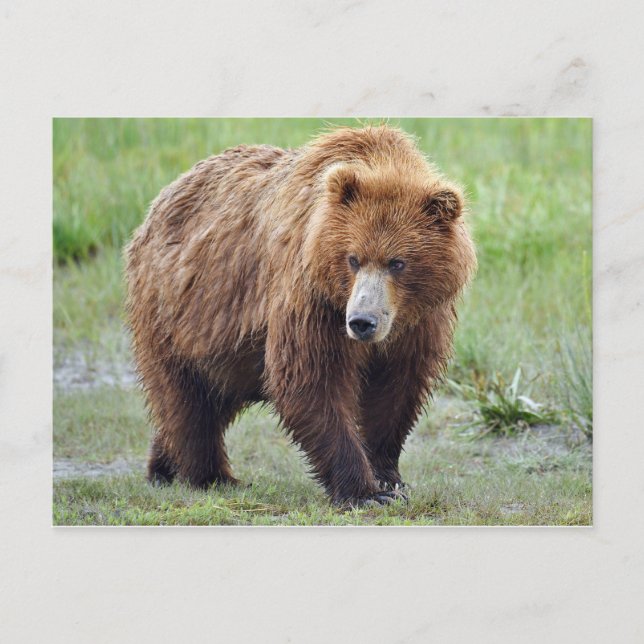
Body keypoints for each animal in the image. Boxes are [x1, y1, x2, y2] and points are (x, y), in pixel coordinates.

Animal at [125, 125, 476, 506]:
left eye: (397, 263)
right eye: (353, 258)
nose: (362, 322)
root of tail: (158, 204)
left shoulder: (418, 319)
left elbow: (397, 390)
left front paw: (389, 478)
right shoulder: (312, 297)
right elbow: (310, 379)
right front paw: (364, 492)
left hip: (227, 347)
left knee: (209, 397)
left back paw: (162, 465)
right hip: (178, 312)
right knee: (186, 401)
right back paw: (211, 476)